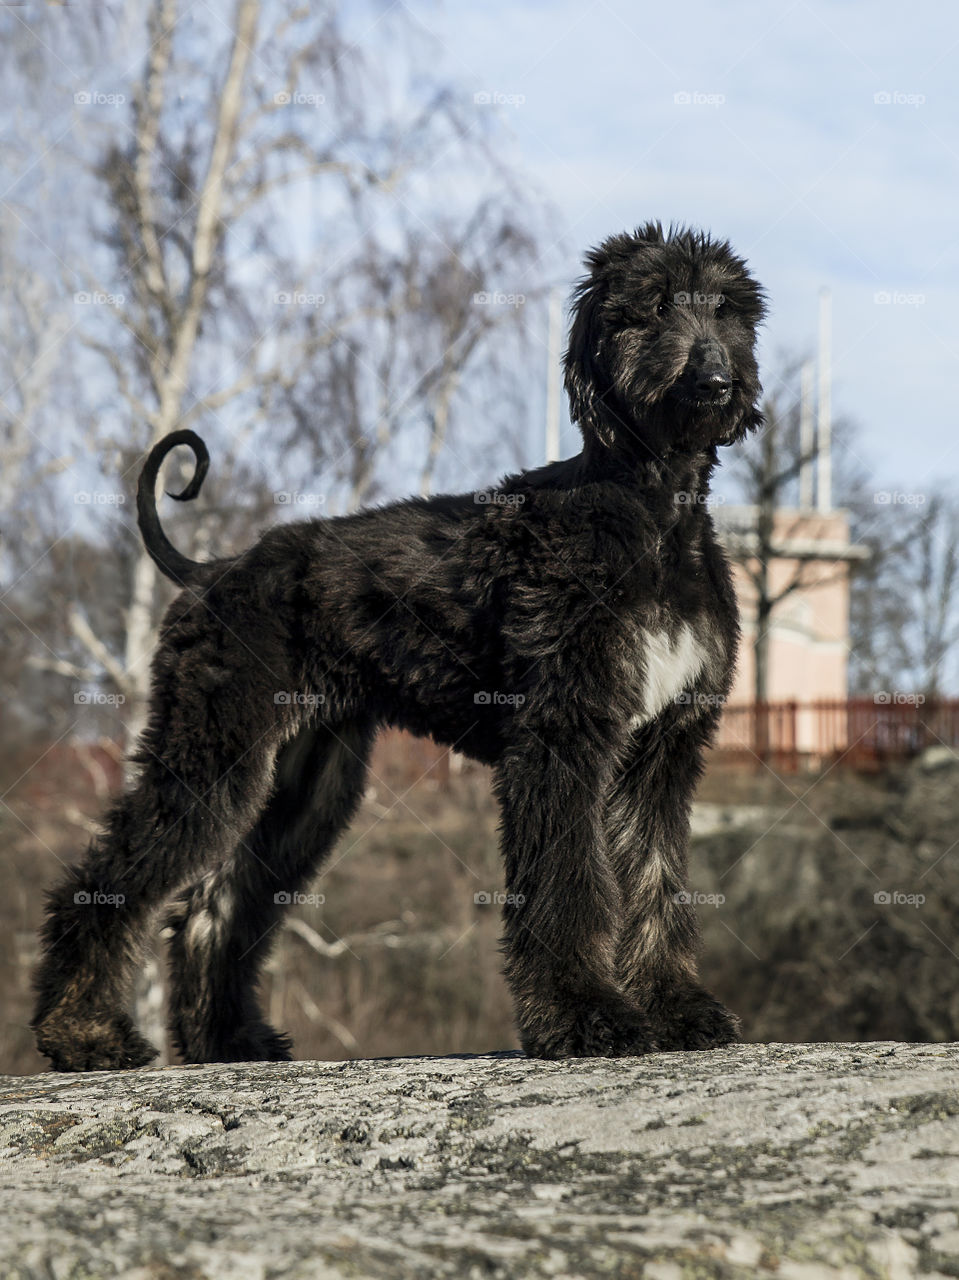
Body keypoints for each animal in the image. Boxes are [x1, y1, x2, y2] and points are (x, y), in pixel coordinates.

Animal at [31, 222, 763, 1070]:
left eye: (728, 308)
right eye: (650, 307)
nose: (715, 380)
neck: (651, 515)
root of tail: (212, 571)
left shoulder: (660, 750)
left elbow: (654, 881)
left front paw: (676, 1008)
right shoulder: (561, 734)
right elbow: (565, 884)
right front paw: (583, 1016)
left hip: (301, 783)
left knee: (216, 906)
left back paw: (229, 1039)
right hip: (210, 748)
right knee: (109, 879)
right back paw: (83, 1033)